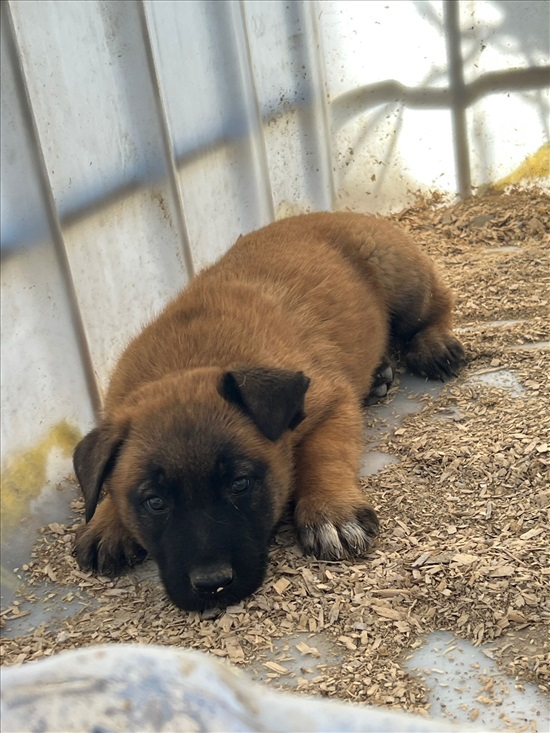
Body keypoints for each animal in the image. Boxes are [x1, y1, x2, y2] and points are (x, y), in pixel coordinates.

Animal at [71, 213, 464, 612]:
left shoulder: (332, 403)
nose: (213, 585)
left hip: (404, 282)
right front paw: (106, 520)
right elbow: (104, 479)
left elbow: (323, 455)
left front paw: (330, 511)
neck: (184, 364)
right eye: (154, 502)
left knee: (437, 307)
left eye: (240, 484)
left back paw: (433, 345)